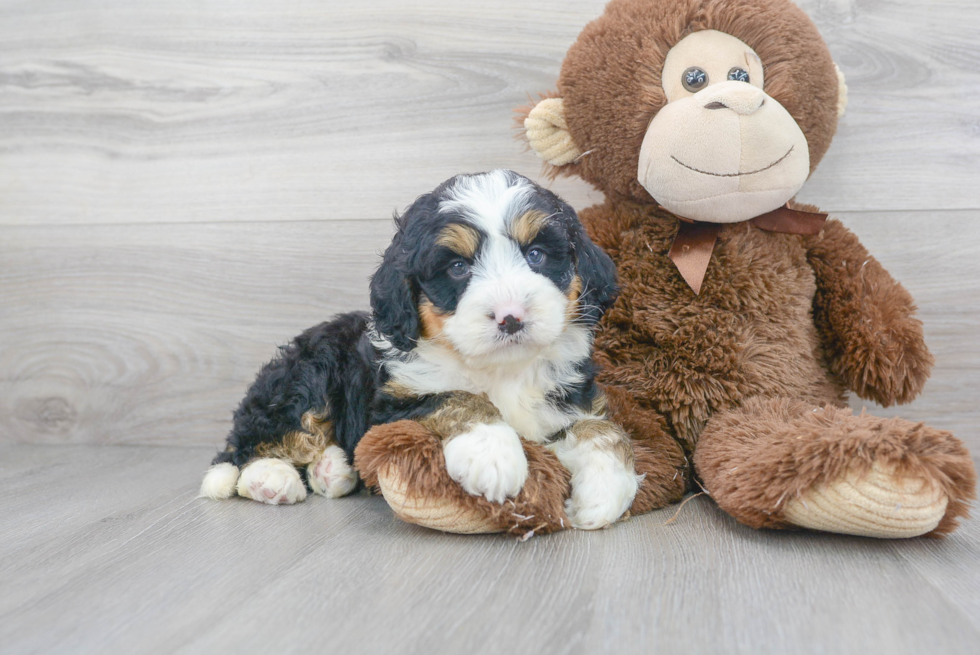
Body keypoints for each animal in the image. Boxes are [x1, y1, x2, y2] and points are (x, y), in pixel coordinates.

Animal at [201, 169, 644, 528]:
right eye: (458, 268)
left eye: (536, 254)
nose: (511, 316)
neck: (501, 368)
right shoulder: (393, 405)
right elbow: (460, 398)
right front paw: (494, 454)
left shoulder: (570, 399)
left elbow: (602, 429)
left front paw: (604, 491)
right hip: (307, 376)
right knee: (247, 447)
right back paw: (271, 479)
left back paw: (332, 469)